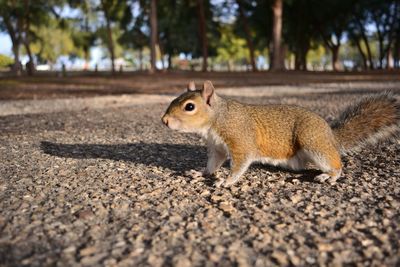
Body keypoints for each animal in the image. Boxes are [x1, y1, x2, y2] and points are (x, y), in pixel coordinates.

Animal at [162, 80, 400, 187]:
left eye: (190, 107)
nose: (164, 120)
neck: (217, 118)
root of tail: (331, 137)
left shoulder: (240, 139)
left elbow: (240, 162)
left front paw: (226, 181)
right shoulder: (218, 147)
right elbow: (213, 164)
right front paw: (200, 172)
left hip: (313, 141)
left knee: (336, 164)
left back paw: (329, 175)